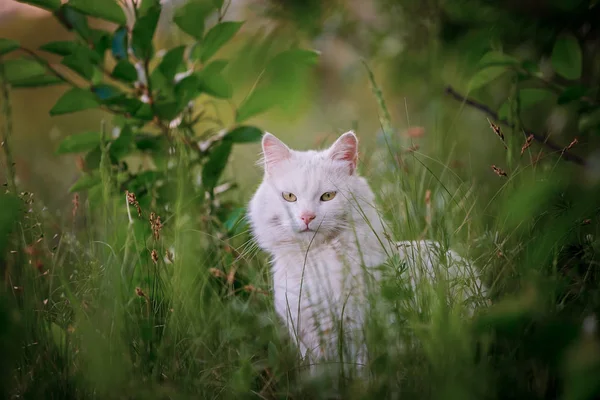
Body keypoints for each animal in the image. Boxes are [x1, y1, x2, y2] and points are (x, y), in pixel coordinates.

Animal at [246, 131, 486, 376]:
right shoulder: (309, 340)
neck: (315, 263)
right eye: (289, 196)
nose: (307, 217)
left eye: (328, 196)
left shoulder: (360, 334)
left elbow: (361, 376)